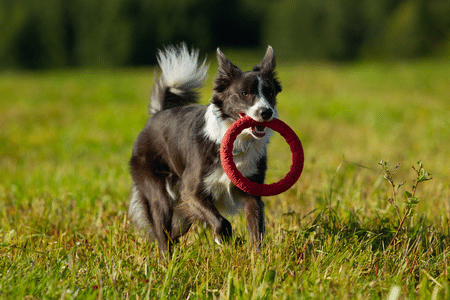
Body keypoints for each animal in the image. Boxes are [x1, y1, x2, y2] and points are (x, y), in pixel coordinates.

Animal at [128, 42, 282, 254]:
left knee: (172, 232)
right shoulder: (190, 190)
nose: (266, 112)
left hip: (181, 213)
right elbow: (221, 221)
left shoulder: (252, 190)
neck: (236, 143)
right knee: (162, 234)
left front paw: (256, 258)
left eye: (269, 93)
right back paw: (166, 260)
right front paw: (224, 239)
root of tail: (157, 114)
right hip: (159, 193)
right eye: (244, 93)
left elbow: (256, 229)